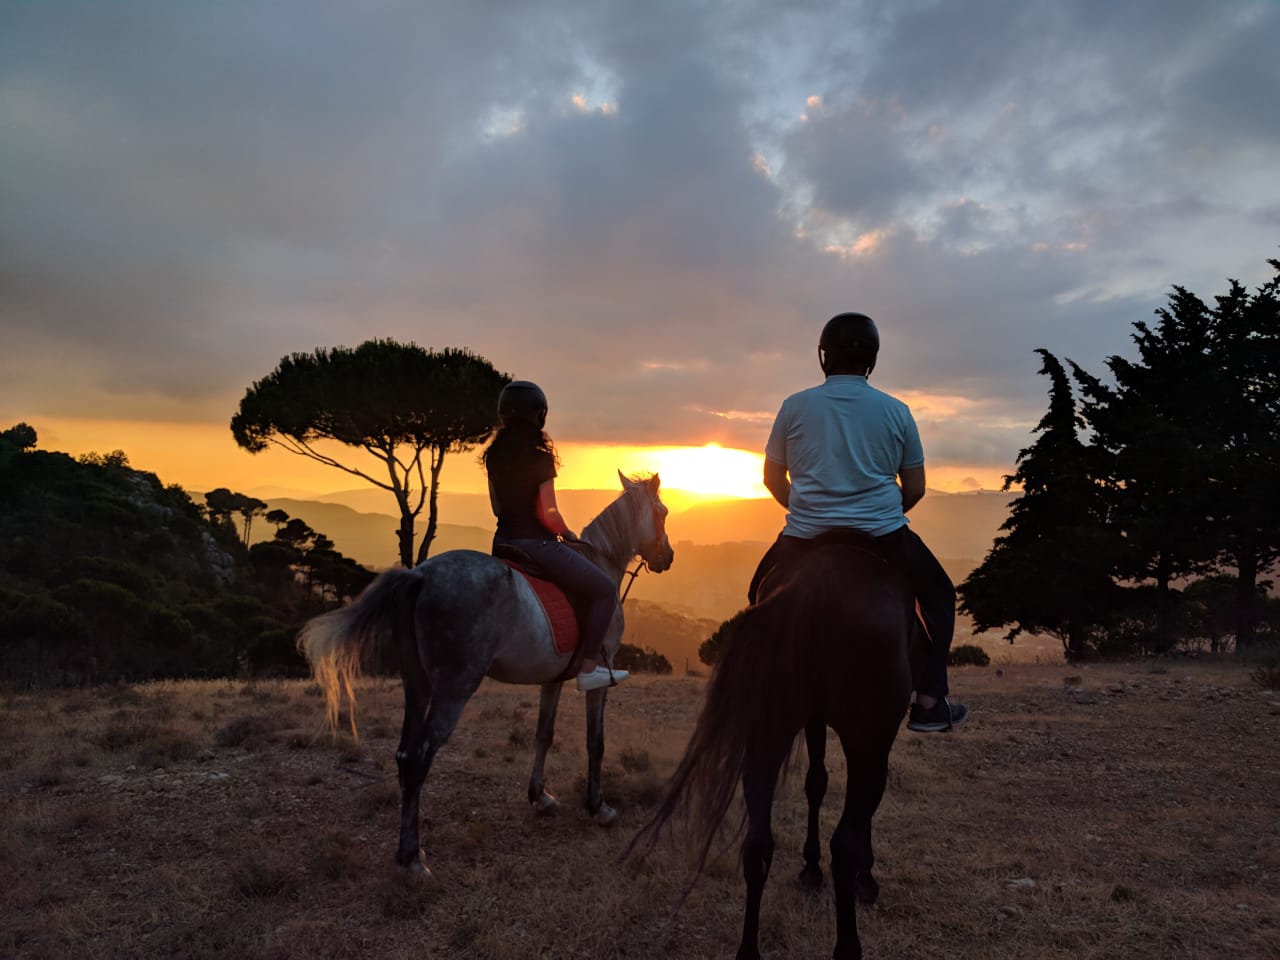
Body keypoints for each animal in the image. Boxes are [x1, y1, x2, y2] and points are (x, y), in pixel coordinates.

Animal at [295, 473, 675, 880]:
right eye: (663, 511)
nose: (667, 557)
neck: (601, 562)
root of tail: (419, 575)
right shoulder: (600, 677)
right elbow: (596, 742)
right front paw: (597, 806)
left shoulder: (552, 678)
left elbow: (543, 735)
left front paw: (540, 796)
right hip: (454, 688)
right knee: (418, 759)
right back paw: (412, 857)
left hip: (417, 684)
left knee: (404, 753)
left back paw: (408, 851)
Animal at [627, 537, 911, 957]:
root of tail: (813, 588)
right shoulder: (871, 740)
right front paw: (863, 875)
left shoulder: (813, 718)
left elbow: (816, 782)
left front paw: (810, 867)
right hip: (865, 737)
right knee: (844, 845)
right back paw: (847, 941)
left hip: (770, 729)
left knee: (757, 842)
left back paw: (749, 949)